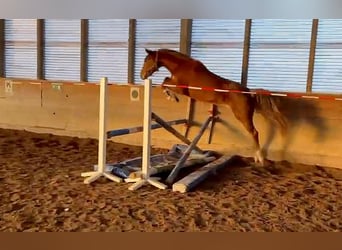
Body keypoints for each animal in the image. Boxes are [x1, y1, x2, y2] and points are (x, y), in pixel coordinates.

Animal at [139, 48, 286, 166]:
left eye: (147, 60)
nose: (142, 75)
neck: (181, 66)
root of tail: (248, 92)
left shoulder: (181, 88)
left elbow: (164, 82)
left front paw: (172, 97)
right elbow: (165, 81)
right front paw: (171, 97)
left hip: (242, 115)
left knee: (254, 132)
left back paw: (260, 159)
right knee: (253, 133)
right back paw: (257, 157)